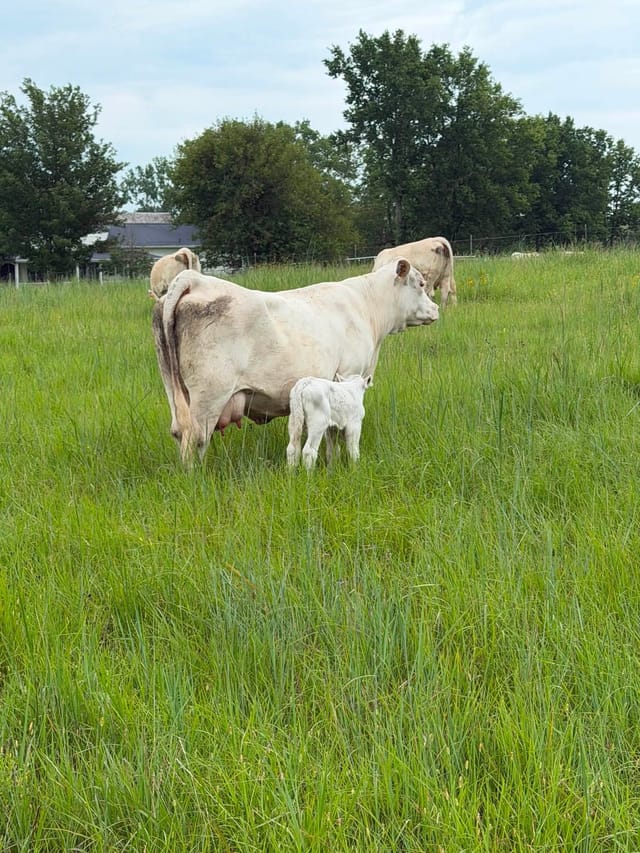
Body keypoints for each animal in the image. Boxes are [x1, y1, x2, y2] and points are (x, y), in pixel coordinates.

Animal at [152, 258, 439, 465]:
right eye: (421, 283)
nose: (436, 309)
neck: (367, 306)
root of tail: (195, 280)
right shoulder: (348, 373)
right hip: (209, 395)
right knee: (195, 437)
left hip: (174, 390)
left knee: (179, 431)